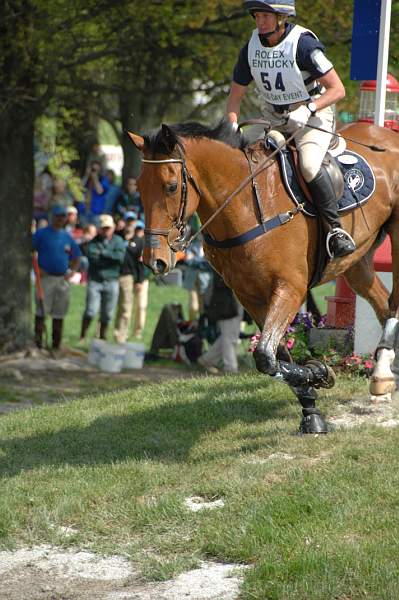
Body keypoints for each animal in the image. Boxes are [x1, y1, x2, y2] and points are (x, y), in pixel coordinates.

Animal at [128, 120, 399, 432]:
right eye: (140, 188)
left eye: (171, 187)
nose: (154, 260)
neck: (246, 207)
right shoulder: (250, 296)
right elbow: (275, 355)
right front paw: (312, 401)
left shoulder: (290, 289)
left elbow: (264, 355)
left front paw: (318, 375)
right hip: (356, 263)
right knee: (382, 305)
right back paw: (383, 376)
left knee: (393, 305)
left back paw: (382, 373)